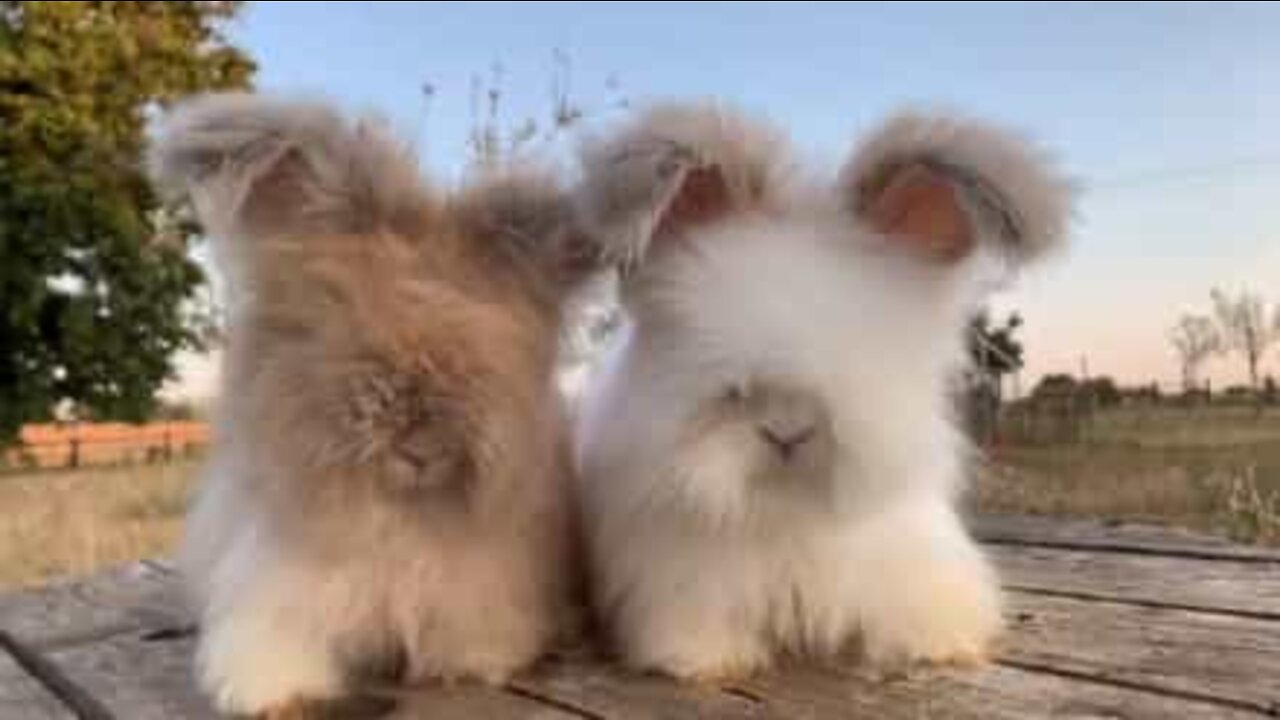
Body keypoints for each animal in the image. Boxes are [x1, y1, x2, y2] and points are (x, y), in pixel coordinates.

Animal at [149, 94, 593, 712]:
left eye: (487, 359)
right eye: (358, 344)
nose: (422, 450)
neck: (394, 512)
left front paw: (467, 666)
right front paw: (265, 692)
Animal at [570, 101, 1070, 676]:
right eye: (713, 357)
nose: (787, 433)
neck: (787, 511)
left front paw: (935, 648)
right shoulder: (681, 582)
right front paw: (707, 663)